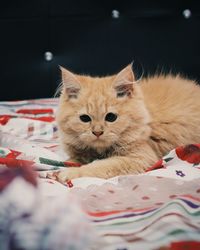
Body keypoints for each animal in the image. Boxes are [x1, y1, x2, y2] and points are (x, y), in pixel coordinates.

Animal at [55, 64, 200, 182]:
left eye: (111, 117)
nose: (97, 132)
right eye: (85, 119)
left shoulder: (140, 157)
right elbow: (71, 160)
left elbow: (98, 166)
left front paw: (70, 172)